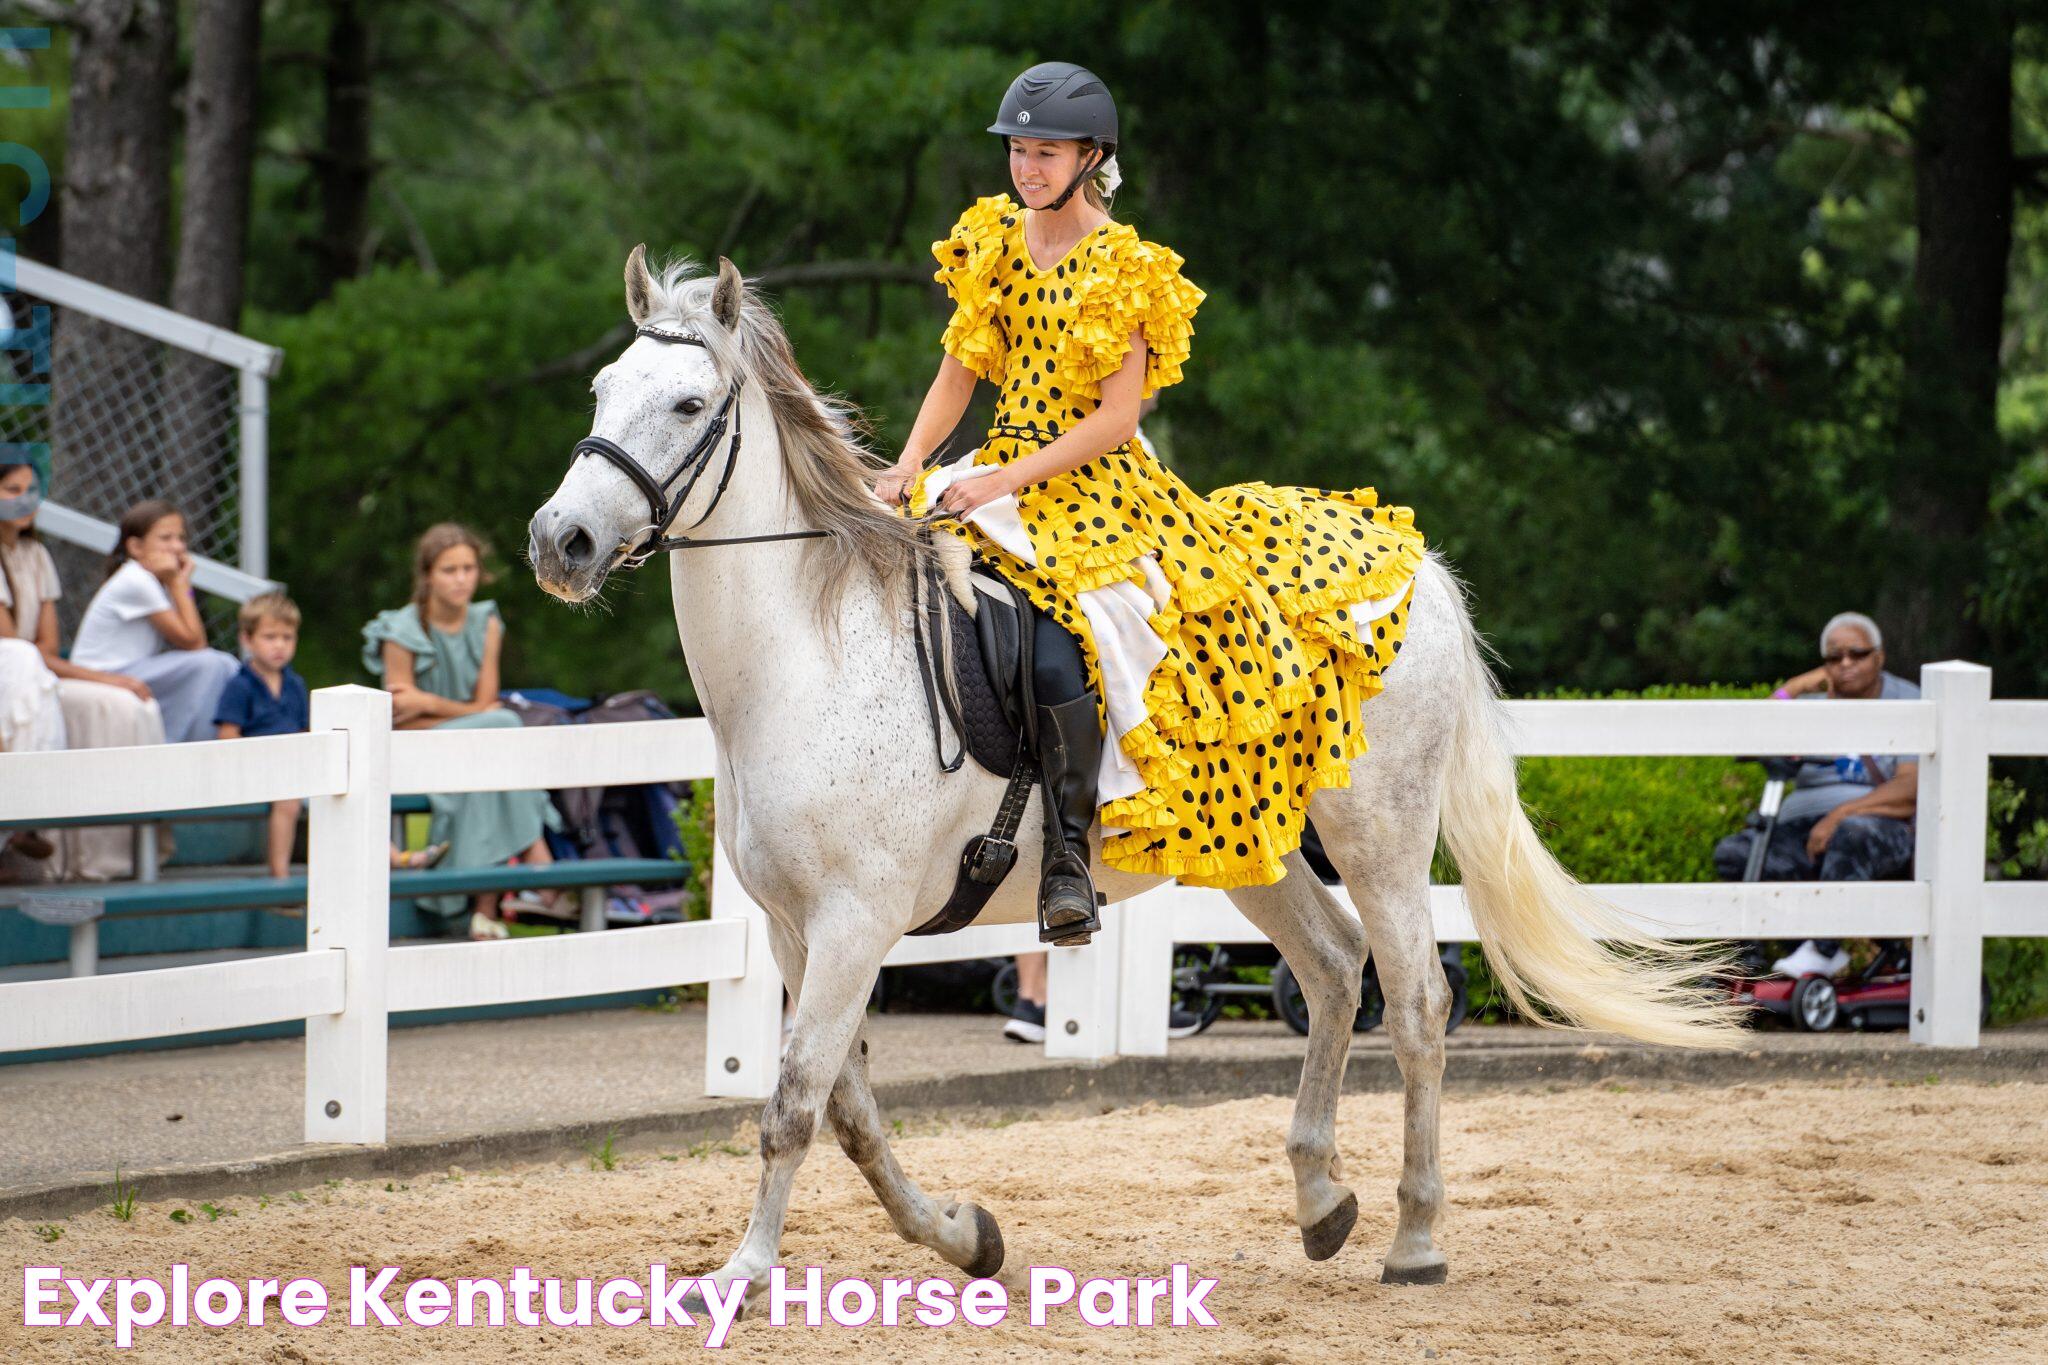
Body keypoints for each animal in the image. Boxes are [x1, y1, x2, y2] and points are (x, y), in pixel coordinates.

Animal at [532, 250, 1744, 1309]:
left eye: (689, 403)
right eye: (600, 388)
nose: (562, 540)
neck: (810, 656)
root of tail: (1412, 564)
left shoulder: (851, 923)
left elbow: (790, 1106)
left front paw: (740, 1277)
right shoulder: (798, 931)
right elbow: (850, 1111)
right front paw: (967, 1238)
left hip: (1382, 836)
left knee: (1415, 1001)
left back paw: (1414, 1237)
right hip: (1253, 843)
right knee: (1333, 967)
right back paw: (1322, 1202)